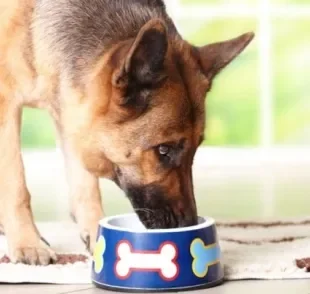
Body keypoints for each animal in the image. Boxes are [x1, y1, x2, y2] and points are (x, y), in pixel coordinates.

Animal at [0, 0, 253, 266]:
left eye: (196, 149)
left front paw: (96, 233)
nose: (189, 224)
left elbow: (85, 184)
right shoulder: (7, 106)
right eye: (163, 149)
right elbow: (15, 185)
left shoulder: (72, 109)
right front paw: (27, 243)